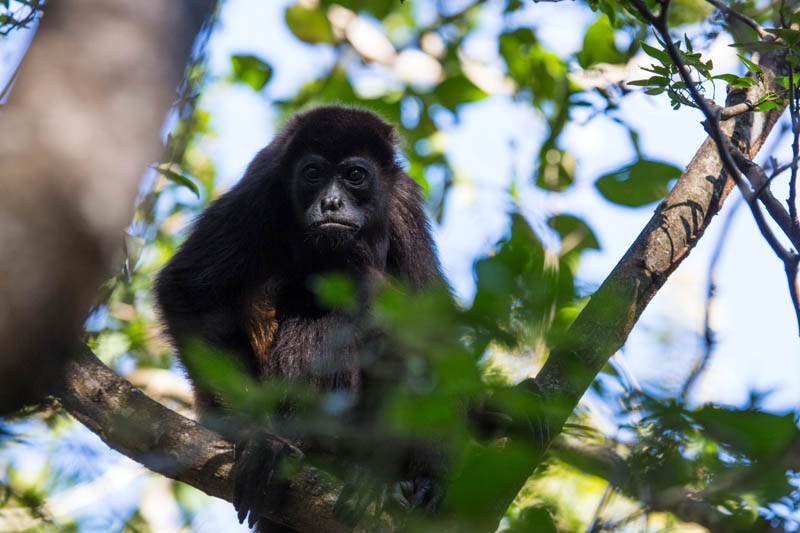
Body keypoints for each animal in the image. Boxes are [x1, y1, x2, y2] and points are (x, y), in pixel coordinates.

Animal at [155, 104, 444, 528]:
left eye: (354, 175)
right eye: (312, 173)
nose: (331, 203)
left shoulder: (404, 202)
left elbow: (431, 333)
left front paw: (426, 478)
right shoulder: (262, 190)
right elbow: (186, 290)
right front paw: (257, 436)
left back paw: (374, 481)